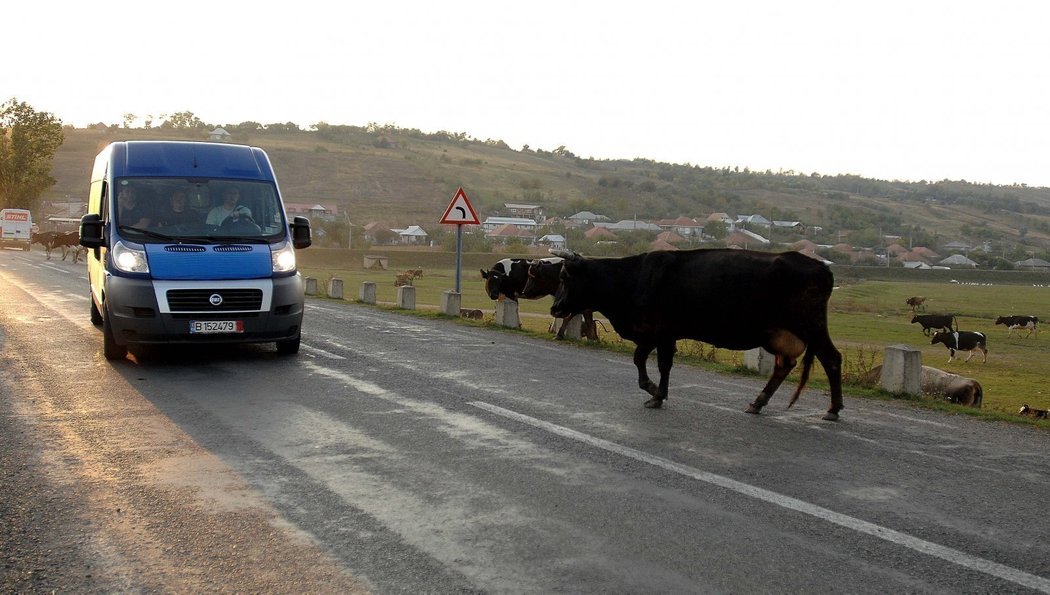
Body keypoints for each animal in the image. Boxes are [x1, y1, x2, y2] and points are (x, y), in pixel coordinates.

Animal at [550, 248, 844, 421]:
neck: (632, 278)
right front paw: (653, 389)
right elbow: (640, 359)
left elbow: (661, 364)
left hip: (812, 326)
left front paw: (657, 394)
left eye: (564, 278)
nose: (555, 308)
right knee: (785, 365)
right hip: (779, 334)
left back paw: (833, 410)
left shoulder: (662, 332)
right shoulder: (651, 334)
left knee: (832, 359)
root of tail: (821, 266)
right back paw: (758, 403)